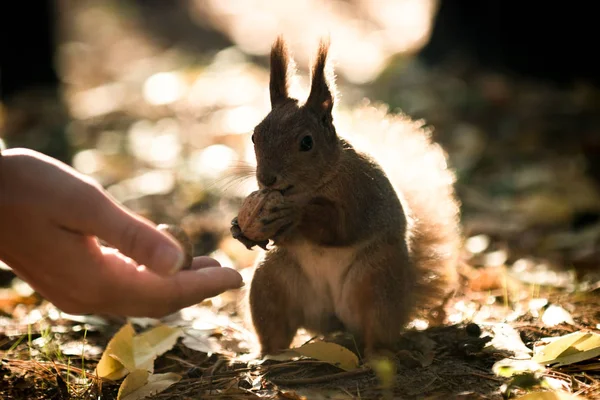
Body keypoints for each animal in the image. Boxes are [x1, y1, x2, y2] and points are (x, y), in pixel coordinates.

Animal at [232, 36, 462, 356]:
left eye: (307, 142)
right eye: (255, 135)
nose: (266, 179)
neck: (311, 188)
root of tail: (331, 319)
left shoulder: (360, 195)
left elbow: (340, 229)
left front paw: (294, 214)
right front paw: (239, 228)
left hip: (376, 283)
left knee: (377, 331)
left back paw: (375, 356)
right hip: (270, 282)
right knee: (274, 330)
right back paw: (265, 356)